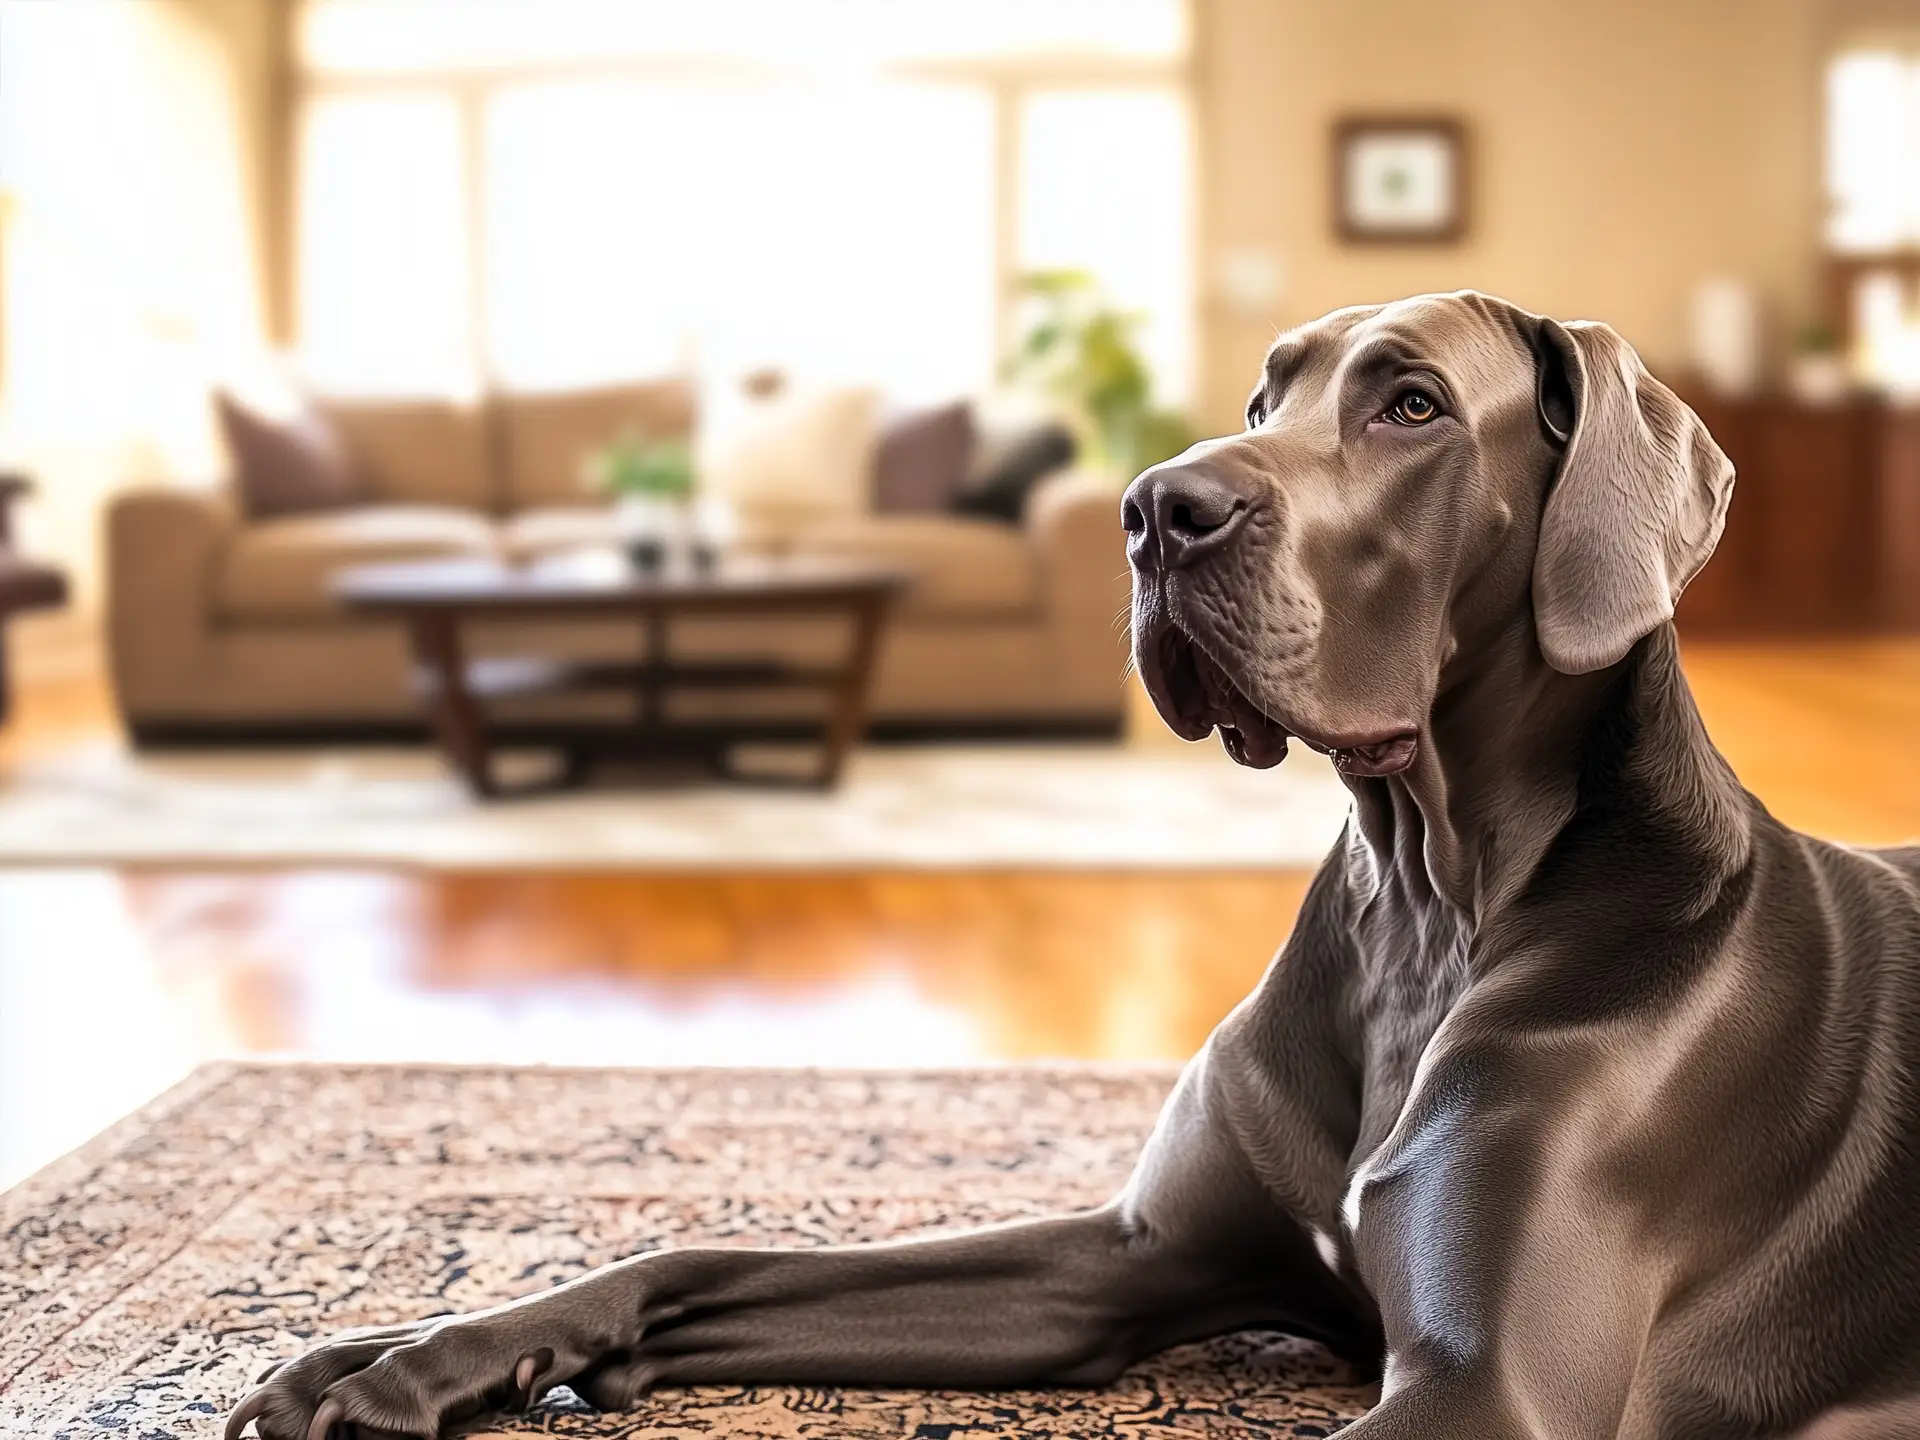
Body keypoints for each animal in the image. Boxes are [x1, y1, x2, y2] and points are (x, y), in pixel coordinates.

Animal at [228, 293, 1920, 1440]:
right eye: (1268, 387)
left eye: (1414, 406)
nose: (1155, 507)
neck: (1428, 908)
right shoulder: (1119, 1263)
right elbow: (703, 1245)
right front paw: (403, 1357)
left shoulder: (1487, 1392)